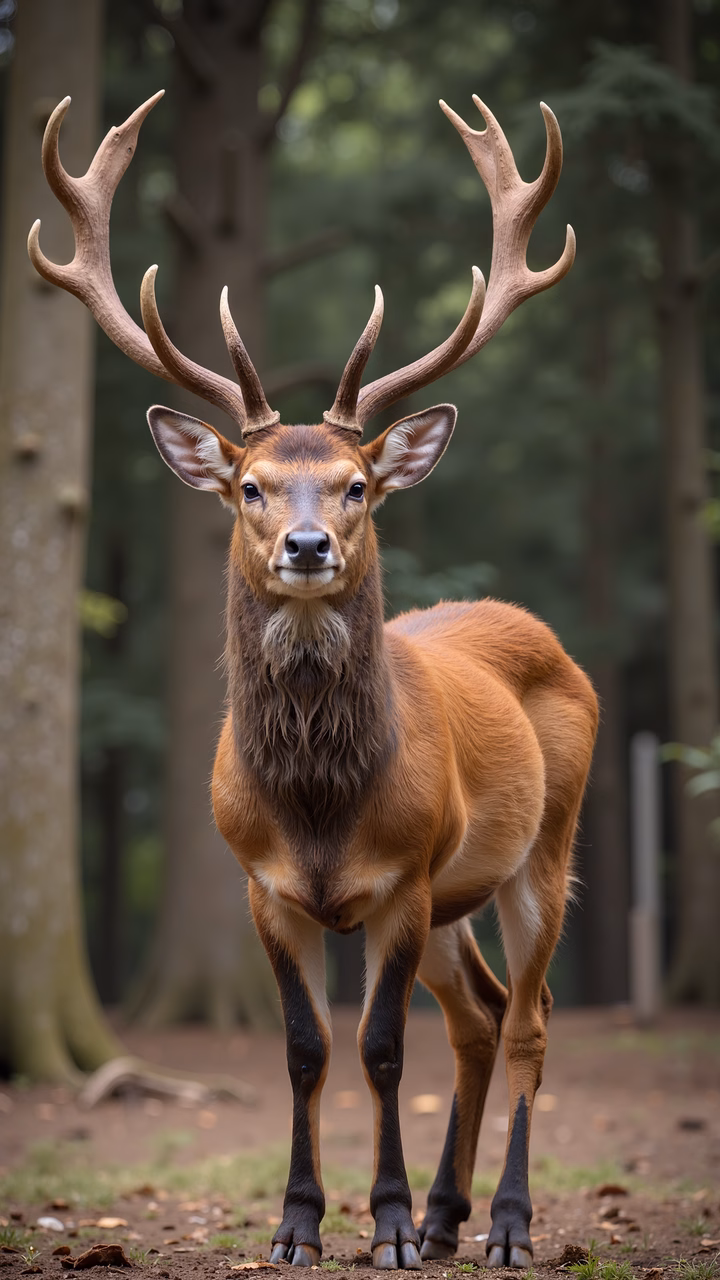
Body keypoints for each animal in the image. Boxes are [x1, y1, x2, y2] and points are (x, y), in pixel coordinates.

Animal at [30, 89, 597, 1271]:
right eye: (249, 483)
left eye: (356, 484)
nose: (304, 544)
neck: (322, 805)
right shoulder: (264, 882)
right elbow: (305, 1047)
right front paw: (299, 1222)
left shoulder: (405, 876)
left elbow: (379, 1048)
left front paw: (381, 1221)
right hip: (459, 899)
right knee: (477, 1016)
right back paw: (449, 1215)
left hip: (545, 849)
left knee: (528, 1020)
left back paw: (505, 1224)